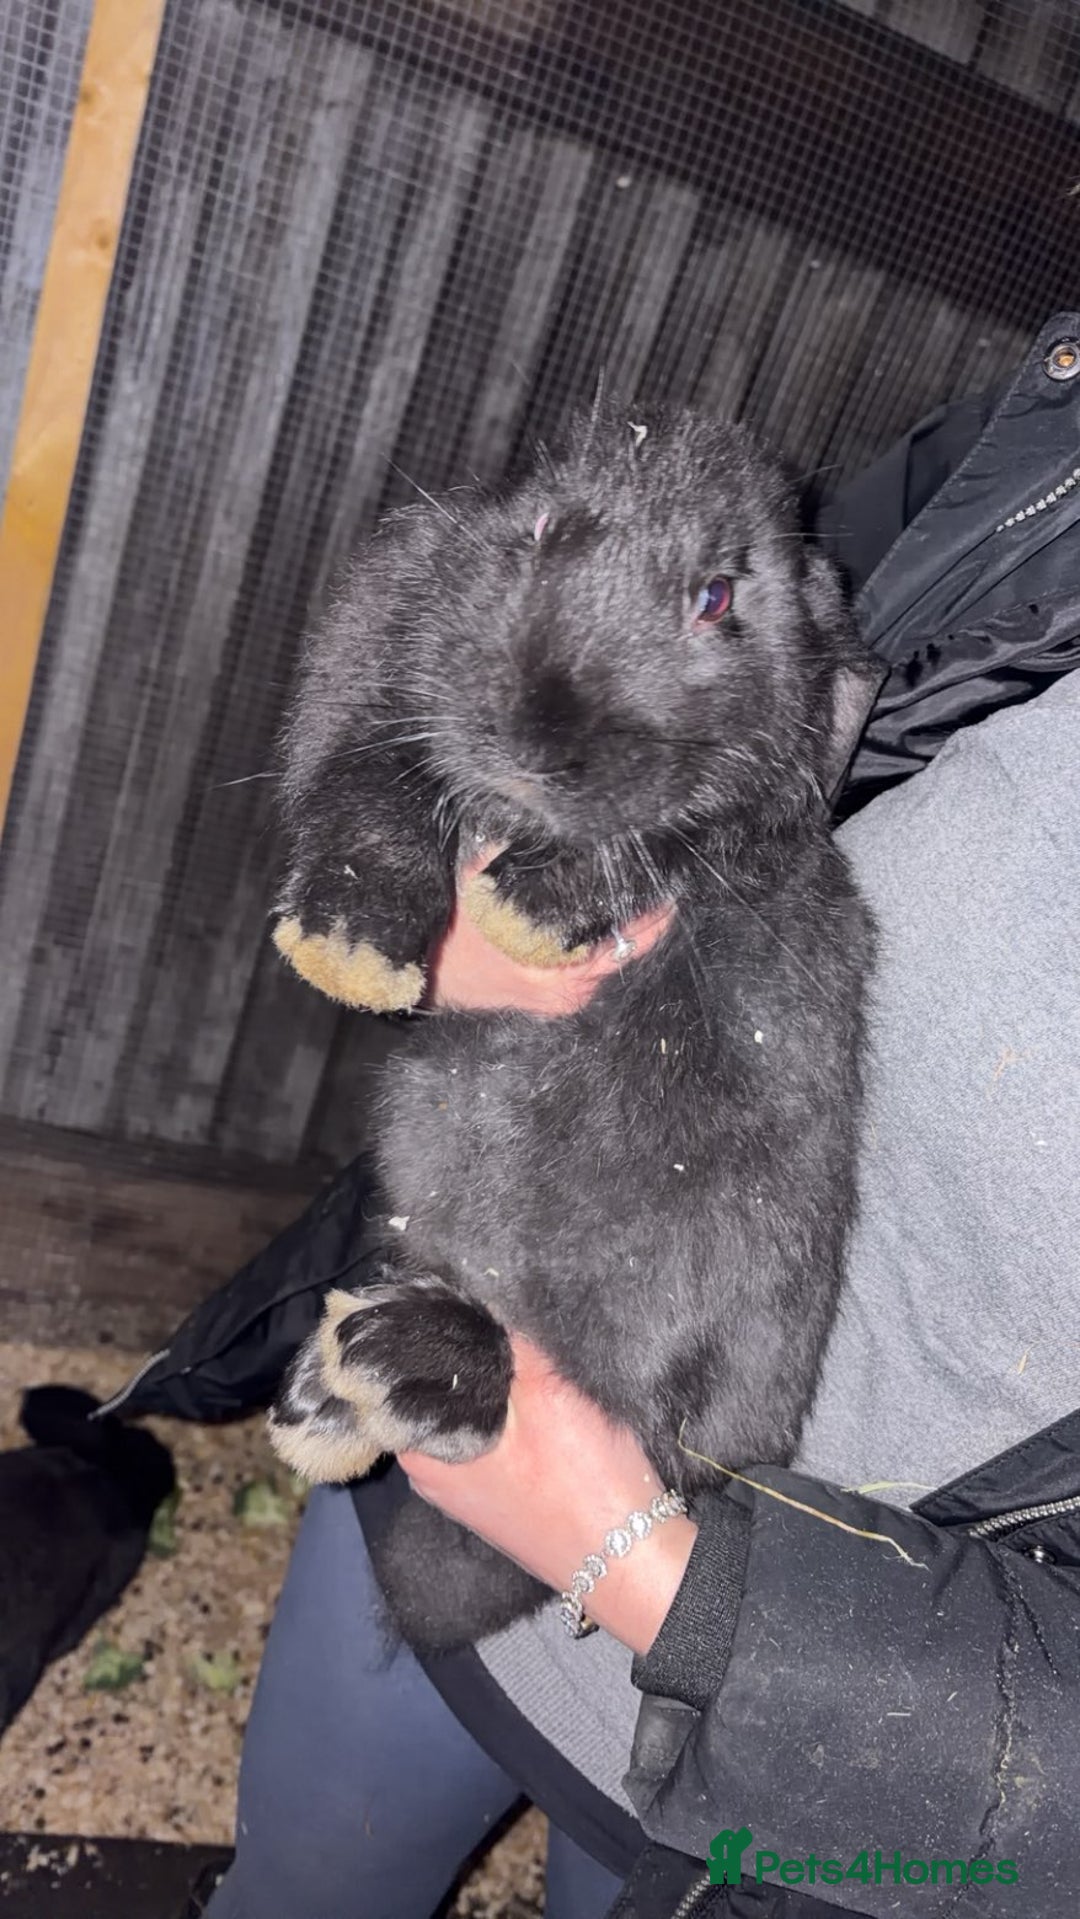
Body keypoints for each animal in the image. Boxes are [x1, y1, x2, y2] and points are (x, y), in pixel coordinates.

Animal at [267, 406, 880, 1651]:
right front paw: (347, 945)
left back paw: (399, 1364)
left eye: (716, 596)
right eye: (542, 530)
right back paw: (328, 1396)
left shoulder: (749, 821)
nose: (538, 733)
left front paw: (539, 905)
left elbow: (691, 835)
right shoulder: (378, 660)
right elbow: (373, 778)